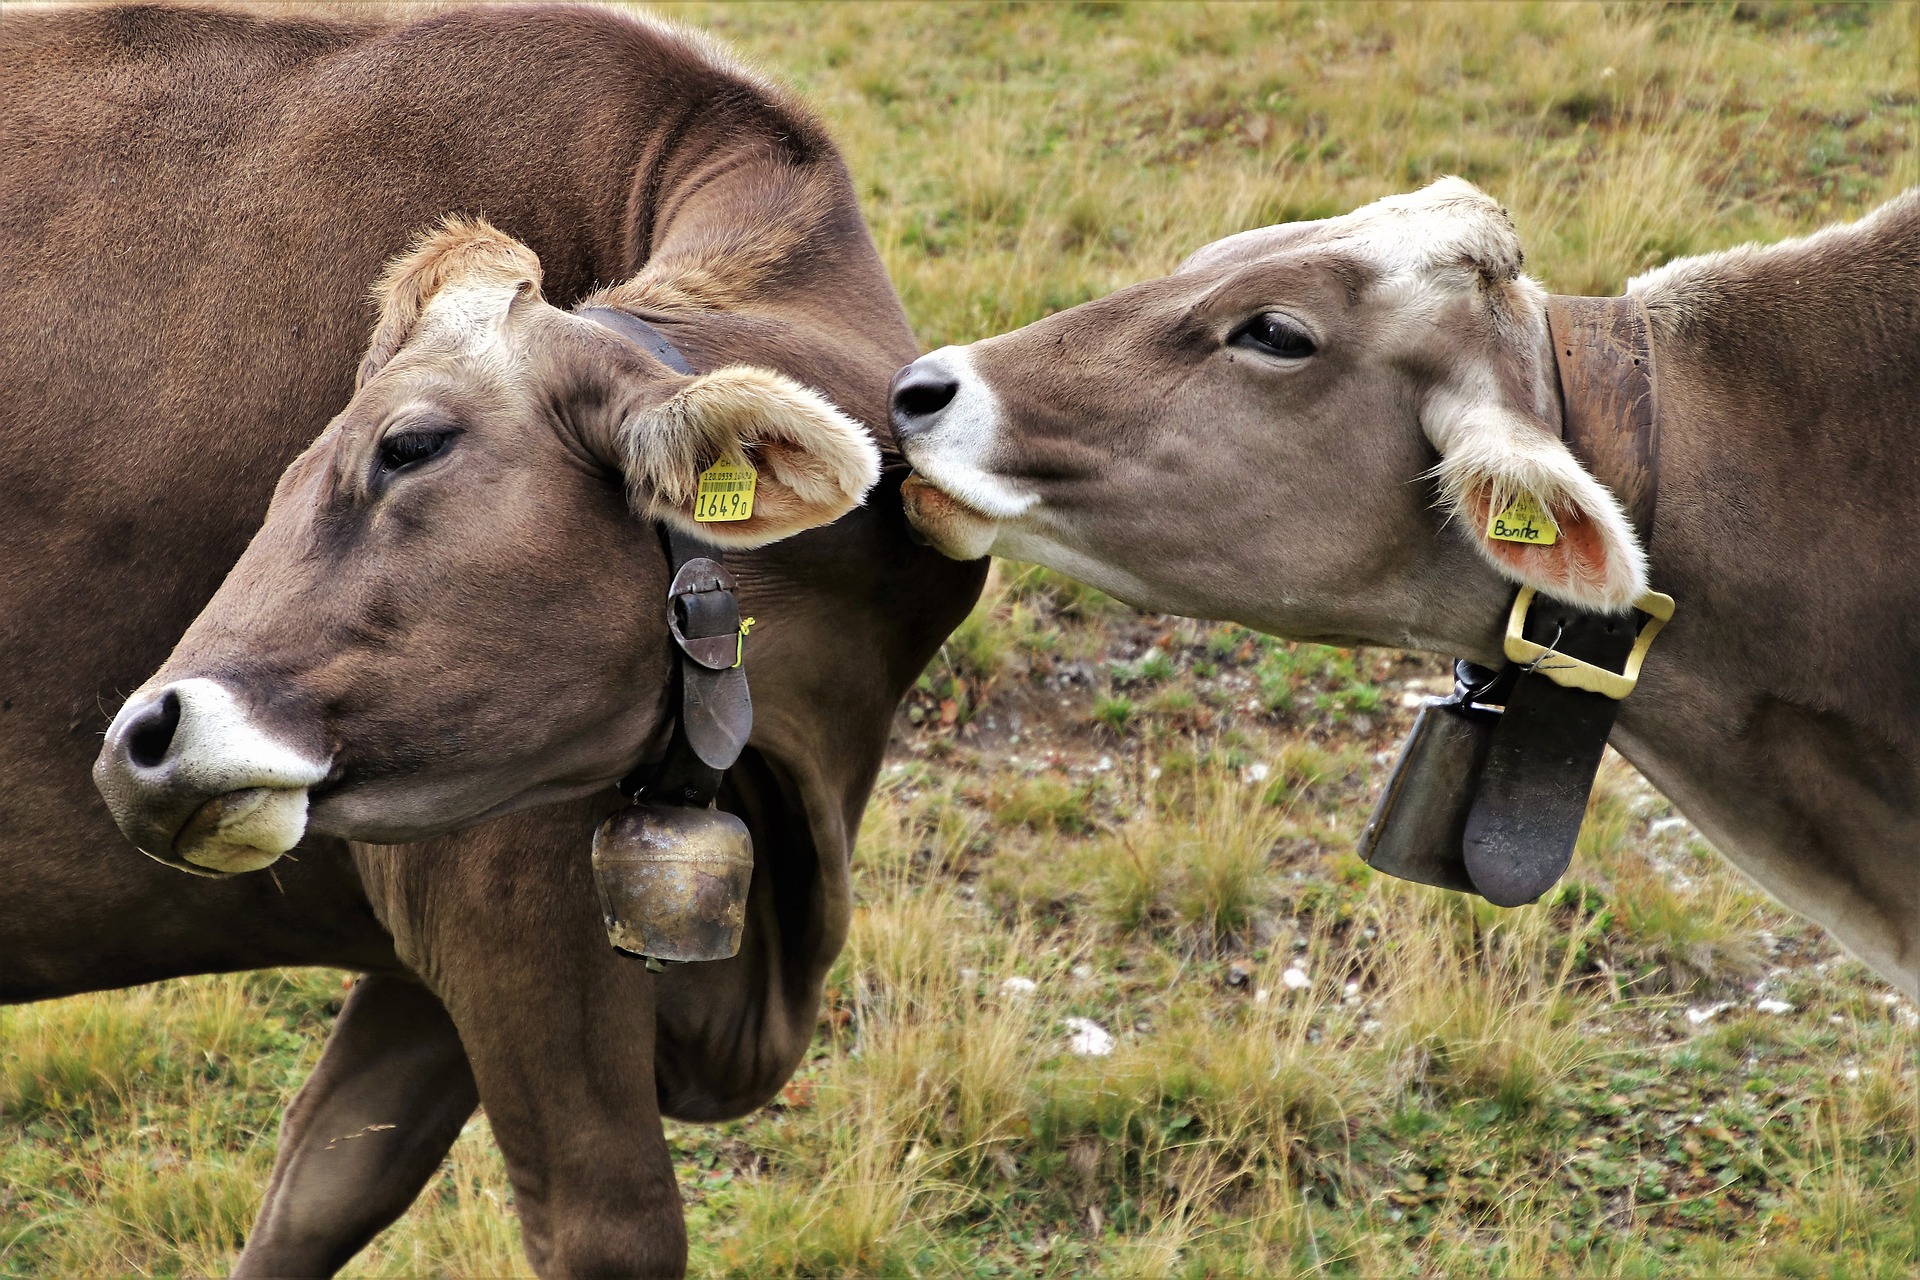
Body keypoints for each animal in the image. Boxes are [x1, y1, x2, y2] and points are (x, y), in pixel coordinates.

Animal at [3, 5, 975, 1274]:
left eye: (408, 447)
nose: (141, 742)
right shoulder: (509, 903)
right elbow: (608, 1220)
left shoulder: (430, 969)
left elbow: (321, 1179)